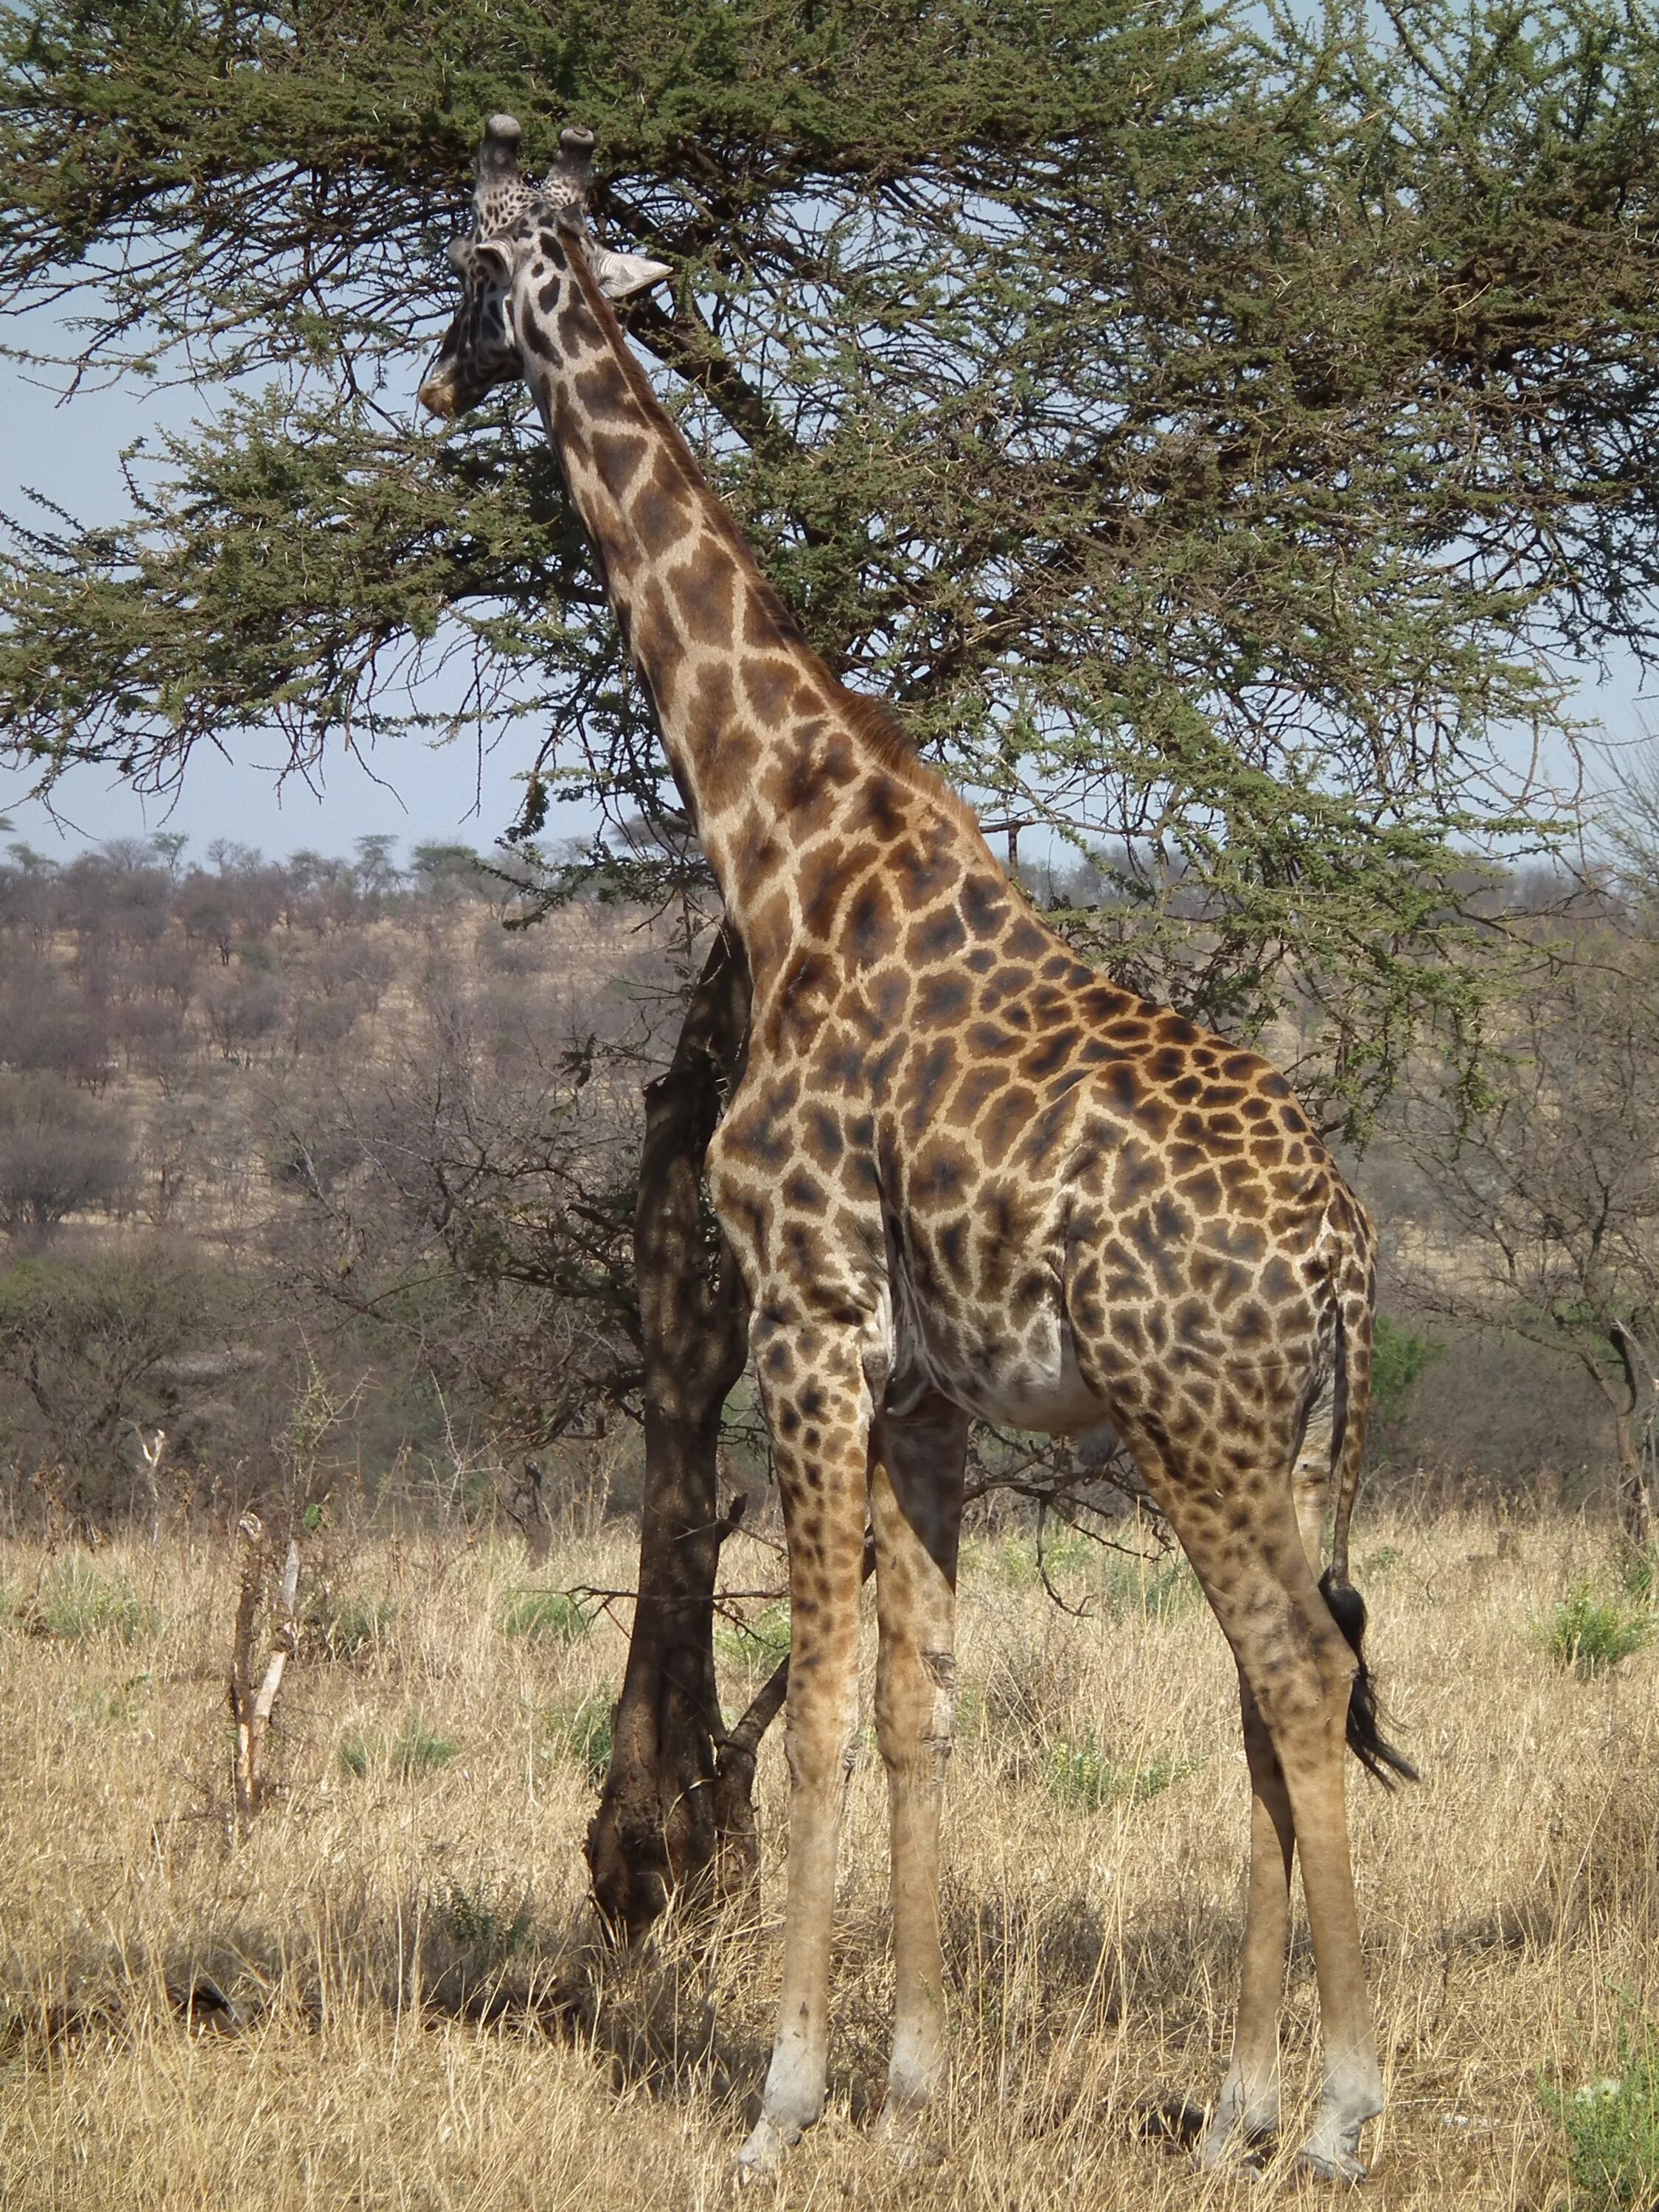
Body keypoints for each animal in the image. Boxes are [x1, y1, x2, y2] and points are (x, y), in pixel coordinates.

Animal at [425, 125, 1416, 2194]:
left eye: (470, 266)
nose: (429, 382)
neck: (788, 850)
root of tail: (1346, 1244)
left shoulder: (804, 1313)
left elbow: (809, 1710)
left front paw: (778, 2100)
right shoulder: (926, 1388)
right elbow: (914, 1707)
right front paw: (912, 2080)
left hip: (1186, 1416)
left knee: (1293, 1677)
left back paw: (1340, 2111)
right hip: (1278, 1437)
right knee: (1271, 1690)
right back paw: (1236, 2102)